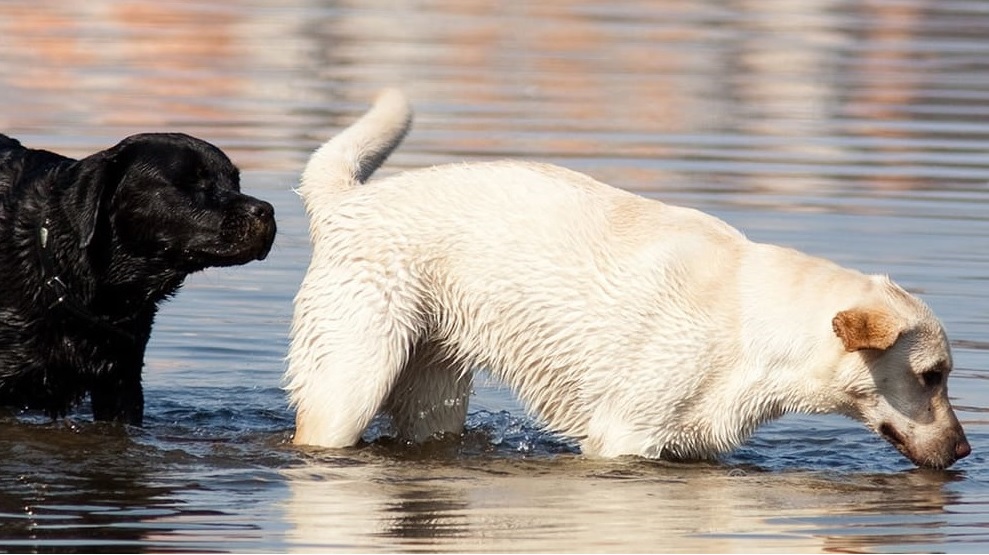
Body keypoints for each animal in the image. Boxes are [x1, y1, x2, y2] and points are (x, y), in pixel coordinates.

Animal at [286, 89, 972, 466]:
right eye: (930, 375)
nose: (967, 452)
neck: (758, 334)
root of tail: (348, 201)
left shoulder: (695, 441)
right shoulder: (624, 437)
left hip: (435, 391)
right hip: (351, 380)